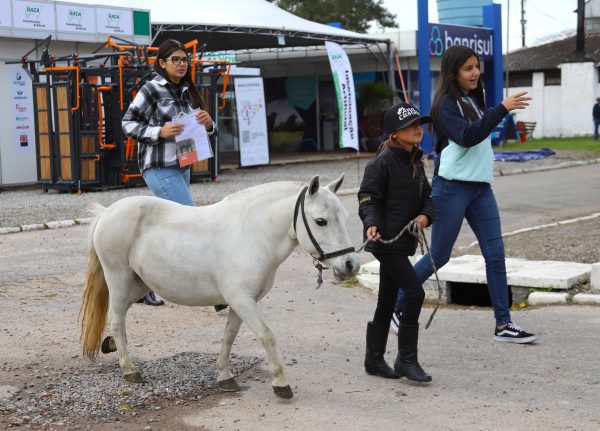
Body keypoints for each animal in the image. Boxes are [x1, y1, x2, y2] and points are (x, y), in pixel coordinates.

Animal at [81, 174, 358, 400]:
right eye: (320, 221)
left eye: (344, 217)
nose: (350, 265)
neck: (252, 233)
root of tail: (107, 212)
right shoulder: (242, 300)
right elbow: (266, 336)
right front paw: (281, 384)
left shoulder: (240, 302)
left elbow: (229, 337)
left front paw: (225, 377)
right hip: (119, 280)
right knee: (117, 320)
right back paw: (129, 369)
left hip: (138, 285)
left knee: (120, 318)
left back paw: (112, 347)